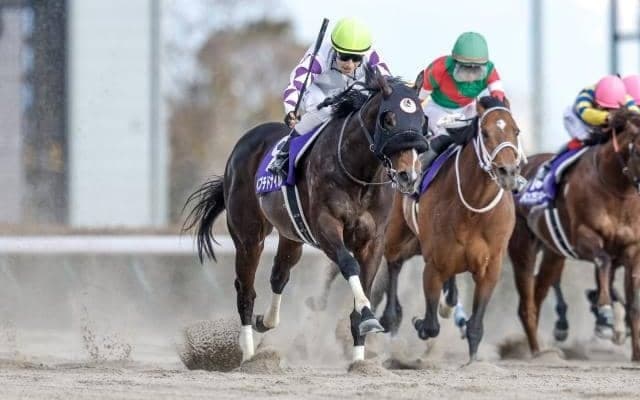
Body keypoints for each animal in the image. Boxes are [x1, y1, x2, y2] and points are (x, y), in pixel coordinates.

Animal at [183, 71, 429, 363]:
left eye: (422, 120)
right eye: (388, 119)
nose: (408, 175)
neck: (359, 174)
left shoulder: (373, 239)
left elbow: (364, 289)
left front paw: (360, 359)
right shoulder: (326, 228)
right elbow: (349, 265)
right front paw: (368, 315)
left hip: (291, 236)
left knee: (279, 275)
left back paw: (265, 321)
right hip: (248, 236)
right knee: (245, 289)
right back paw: (249, 355)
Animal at [377, 96, 525, 362]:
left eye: (516, 130)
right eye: (485, 133)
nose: (508, 172)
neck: (474, 208)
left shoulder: (491, 267)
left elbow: (475, 326)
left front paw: (473, 361)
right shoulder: (434, 264)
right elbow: (430, 325)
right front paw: (419, 323)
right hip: (396, 234)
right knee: (394, 264)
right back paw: (391, 317)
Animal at [508, 109, 640, 361]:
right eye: (638, 150)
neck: (617, 190)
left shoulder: (631, 249)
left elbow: (633, 303)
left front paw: (636, 353)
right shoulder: (584, 237)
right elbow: (603, 261)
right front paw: (605, 312)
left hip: (553, 254)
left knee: (538, 294)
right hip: (522, 247)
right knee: (526, 303)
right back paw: (537, 351)